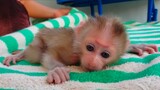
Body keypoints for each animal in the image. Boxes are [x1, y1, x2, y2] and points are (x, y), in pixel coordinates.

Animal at [2, 15, 158, 83]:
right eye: (89, 48)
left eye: (105, 54)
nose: (92, 61)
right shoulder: (69, 48)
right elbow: (49, 54)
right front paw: (57, 70)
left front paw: (136, 46)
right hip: (39, 39)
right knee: (37, 51)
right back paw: (19, 54)